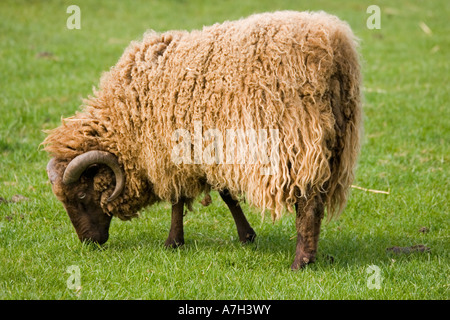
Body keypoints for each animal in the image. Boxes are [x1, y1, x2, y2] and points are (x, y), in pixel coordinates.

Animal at [43, 10, 362, 270]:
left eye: (82, 195)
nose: (89, 242)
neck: (128, 114)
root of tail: (332, 48)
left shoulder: (174, 152)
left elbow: (178, 198)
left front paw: (173, 242)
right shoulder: (208, 150)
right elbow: (226, 193)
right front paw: (246, 235)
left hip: (297, 140)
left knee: (308, 203)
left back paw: (300, 262)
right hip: (334, 144)